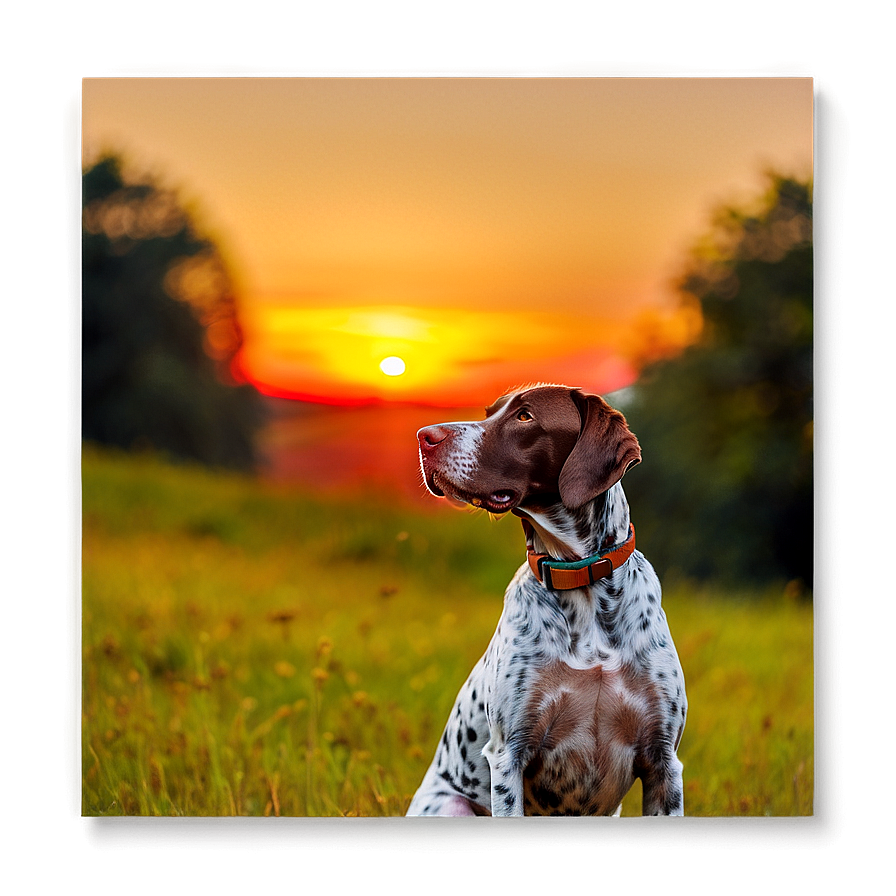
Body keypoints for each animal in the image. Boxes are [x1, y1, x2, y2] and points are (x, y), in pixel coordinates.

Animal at [406, 382, 688, 816]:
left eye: (524, 416)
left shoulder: (664, 762)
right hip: (452, 806)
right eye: (489, 412)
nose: (424, 436)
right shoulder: (509, 754)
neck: (580, 578)